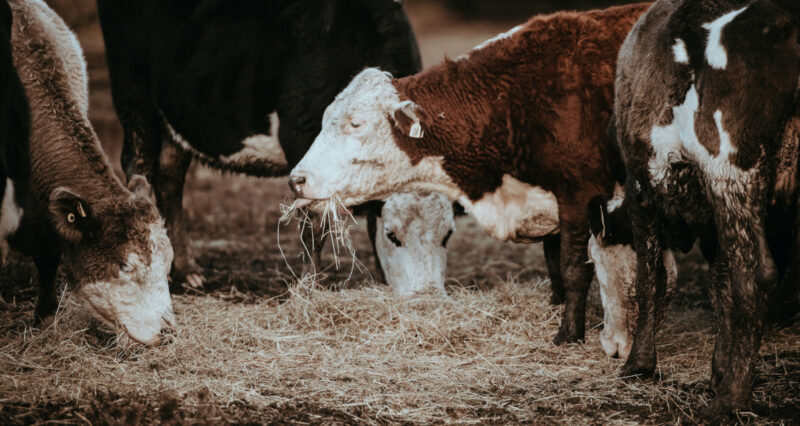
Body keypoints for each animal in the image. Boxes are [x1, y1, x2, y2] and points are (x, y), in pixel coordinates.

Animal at [290, 3, 652, 346]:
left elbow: (574, 268)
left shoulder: (579, 195)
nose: (297, 179)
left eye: (356, 123)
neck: (512, 101)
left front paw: (569, 334)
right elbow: (555, 262)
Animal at [608, 0, 796, 420]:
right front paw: (719, 369)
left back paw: (730, 401)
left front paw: (638, 363)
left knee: (756, 275)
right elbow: (718, 284)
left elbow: (649, 279)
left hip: (731, 169)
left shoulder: (641, 189)